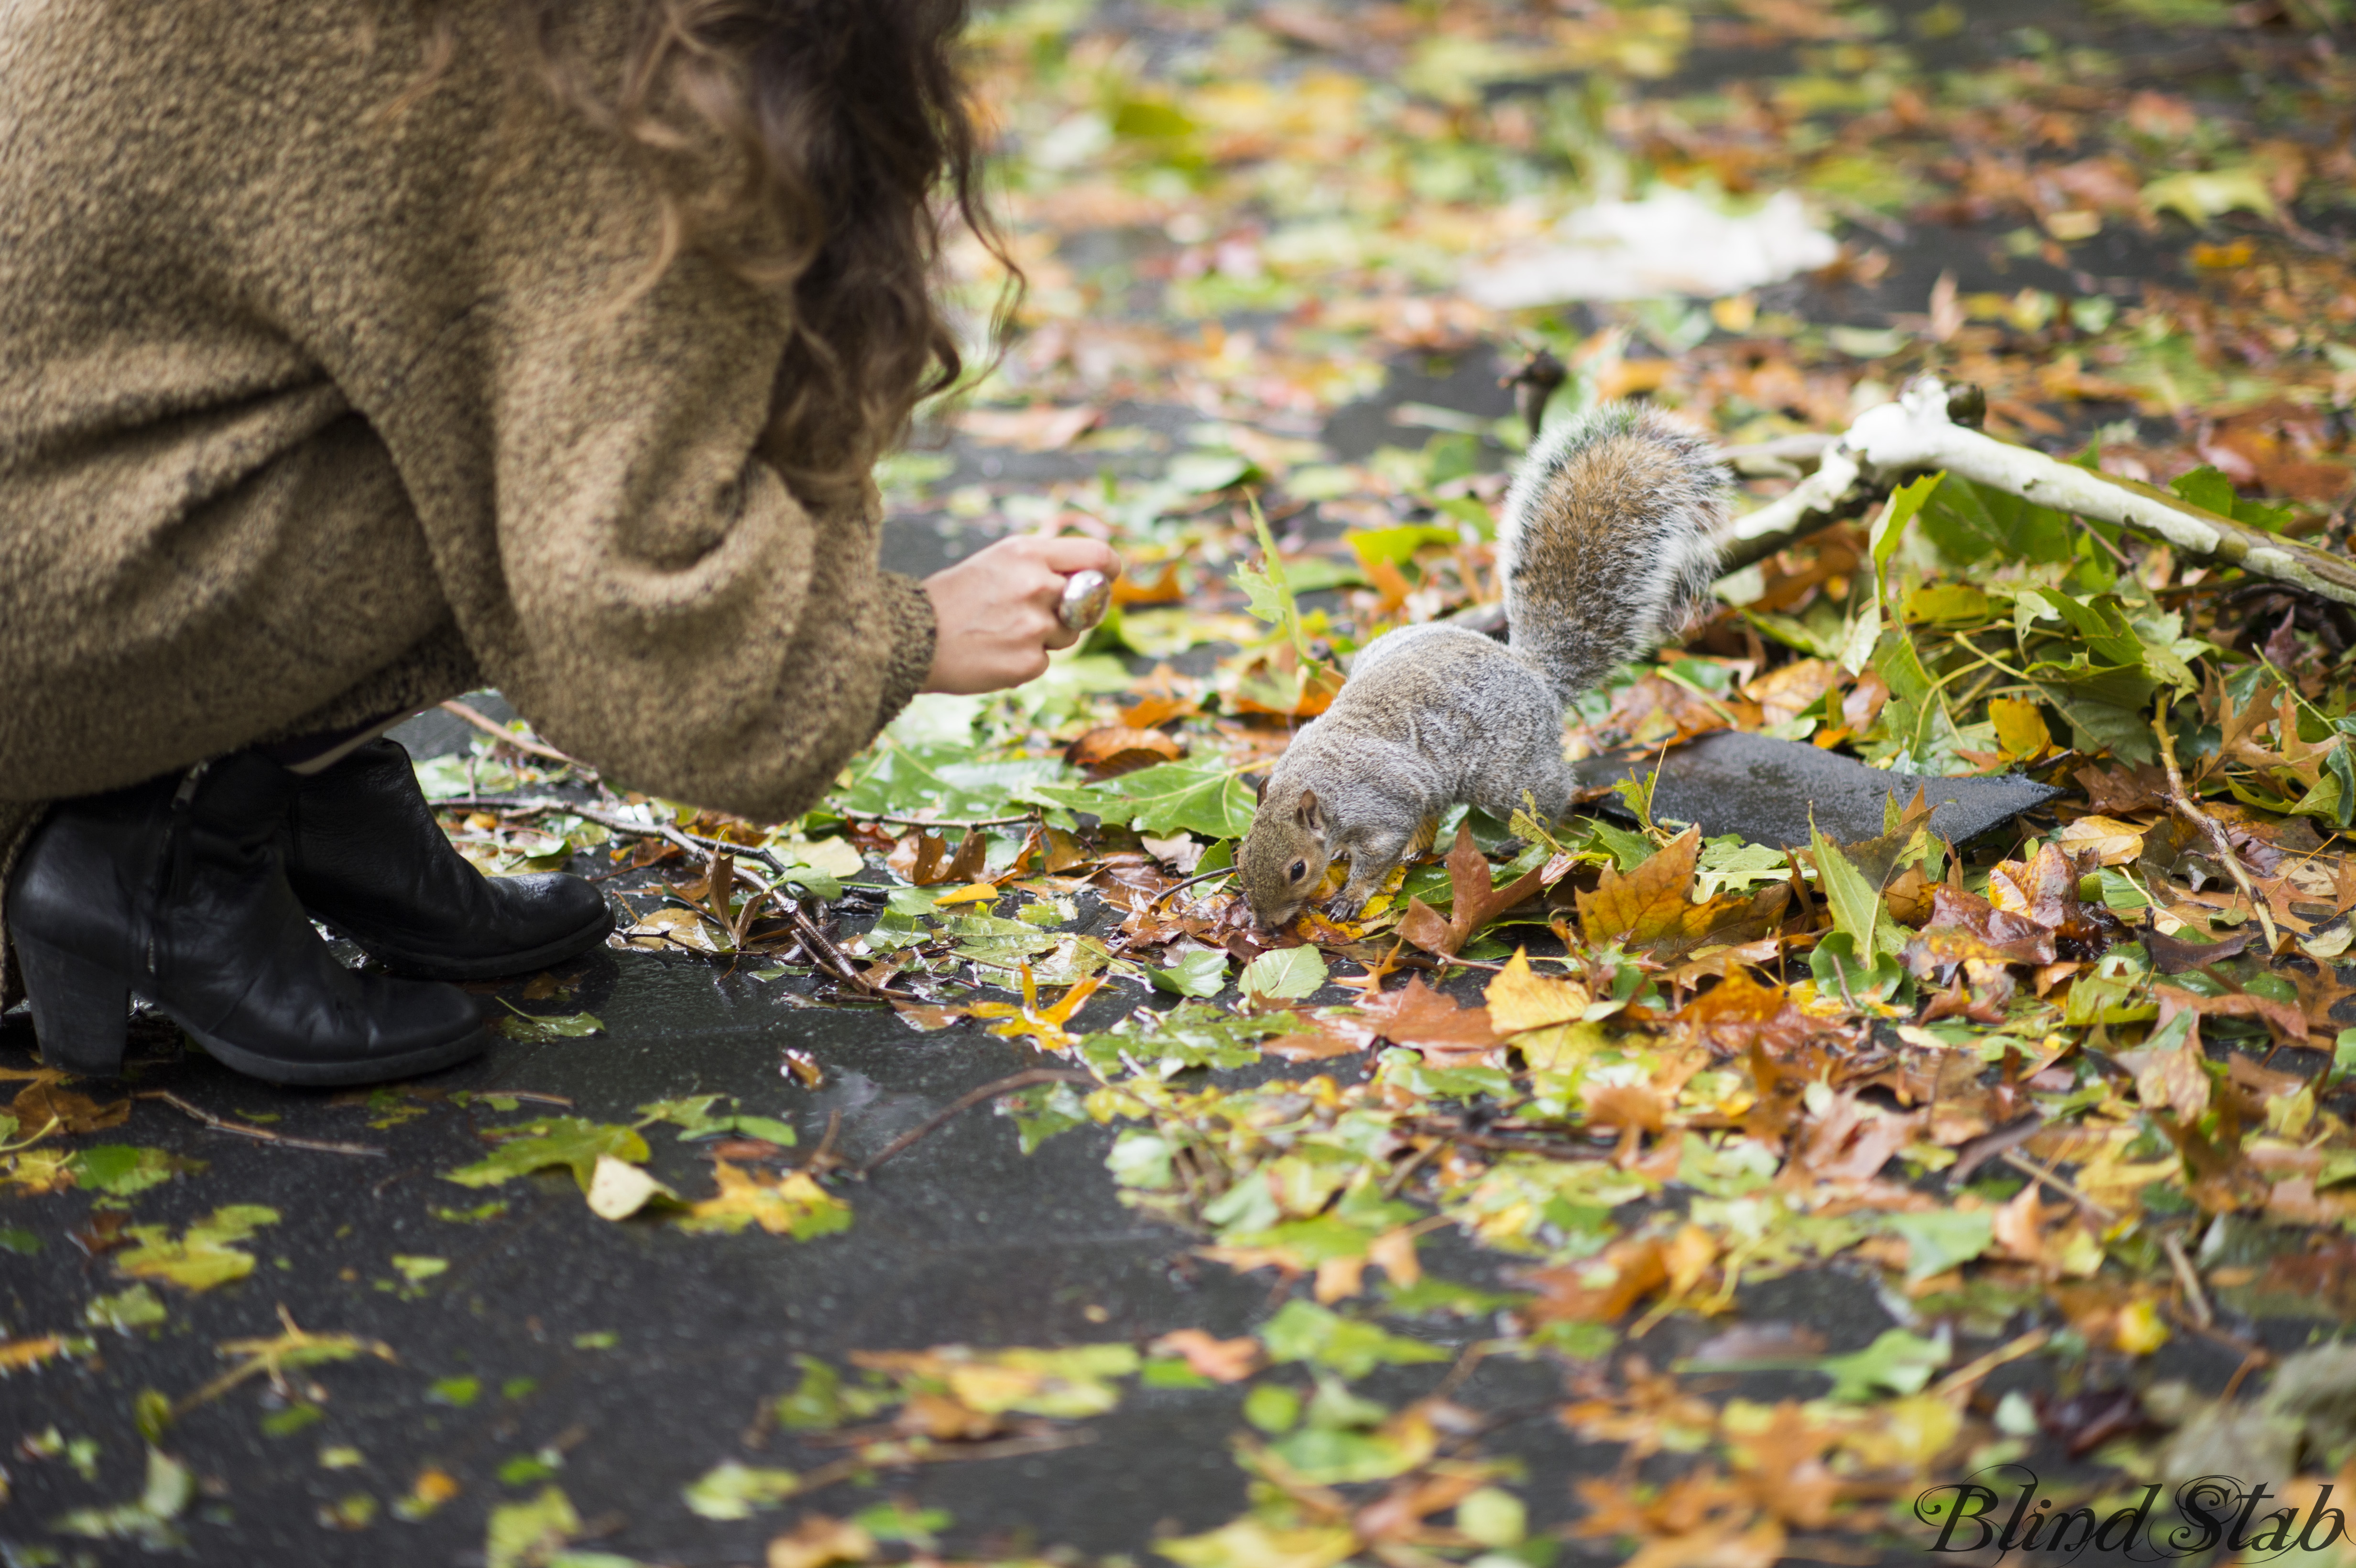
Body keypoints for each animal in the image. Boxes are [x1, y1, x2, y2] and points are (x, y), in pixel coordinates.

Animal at [1234, 398, 1734, 923]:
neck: (1315, 783)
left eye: (1297, 869)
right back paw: (1421, 850)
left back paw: (1528, 838)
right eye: (1241, 856)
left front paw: (1351, 897)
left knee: (1551, 797)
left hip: (1510, 775)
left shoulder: (1382, 807)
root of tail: (1536, 675)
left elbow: (1375, 858)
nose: (1265, 925)